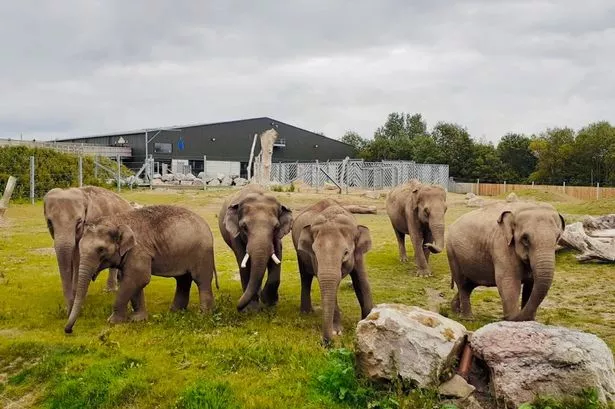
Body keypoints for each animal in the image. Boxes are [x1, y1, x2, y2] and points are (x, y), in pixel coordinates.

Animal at [64, 203, 219, 332]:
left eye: (101, 249)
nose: (68, 330)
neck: (118, 220)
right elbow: (130, 279)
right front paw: (138, 319)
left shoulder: (138, 250)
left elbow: (139, 278)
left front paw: (113, 322)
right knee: (183, 280)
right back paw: (175, 312)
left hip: (202, 252)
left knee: (201, 280)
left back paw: (203, 315)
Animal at [294, 198, 376, 344]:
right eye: (314, 252)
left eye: (346, 253)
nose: (326, 342)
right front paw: (337, 332)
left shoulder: (358, 254)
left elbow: (361, 282)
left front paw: (368, 322)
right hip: (299, 252)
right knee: (305, 277)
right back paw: (306, 313)